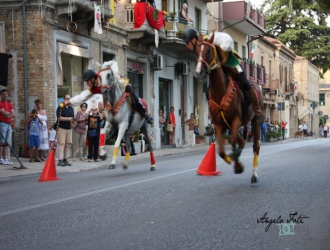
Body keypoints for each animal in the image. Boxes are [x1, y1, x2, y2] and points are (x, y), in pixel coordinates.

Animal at [195, 32, 262, 183]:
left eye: (209, 51)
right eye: (197, 50)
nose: (199, 72)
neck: (221, 91)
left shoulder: (236, 119)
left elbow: (232, 142)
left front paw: (238, 166)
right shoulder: (219, 125)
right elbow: (221, 151)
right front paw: (231, 159)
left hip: (255, 120)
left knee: (255, 146)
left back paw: (254, 174)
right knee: (241, 141)